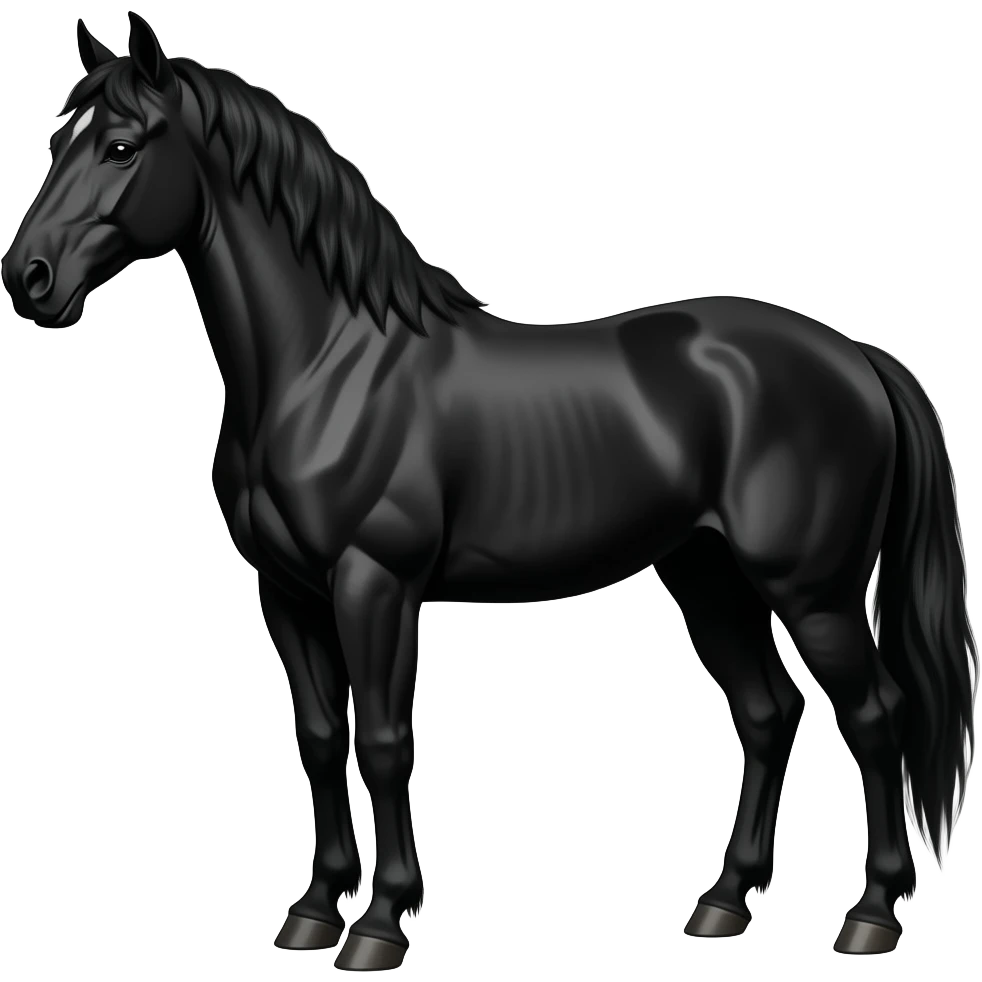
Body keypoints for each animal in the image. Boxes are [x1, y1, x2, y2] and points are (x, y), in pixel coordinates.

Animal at [2, 12, 976, 968]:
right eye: (57, 142)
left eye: (122, 146)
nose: (29, 278)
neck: (328, 364)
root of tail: (857, 357)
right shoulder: (287, 593)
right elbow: (318, 741)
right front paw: (314, 910)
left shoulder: (376, 585)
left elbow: (384, 743)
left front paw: (379, 925)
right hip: (708, 575)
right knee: (770, 714)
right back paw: (724, 903)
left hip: (813, 593)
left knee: (876, 716)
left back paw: (872, 916)